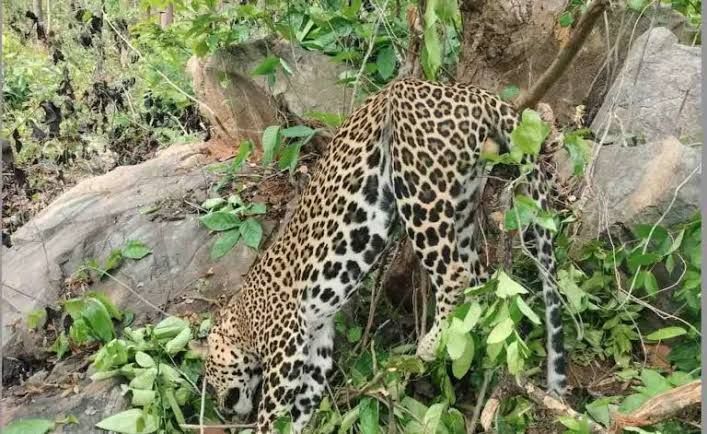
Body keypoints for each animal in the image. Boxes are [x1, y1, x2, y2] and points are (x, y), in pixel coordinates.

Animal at [196, 78, 567, 433]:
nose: (222, 409)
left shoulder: (286, 342)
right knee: (477, 278)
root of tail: (474, 93)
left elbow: (273, 410)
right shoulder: (316, 344)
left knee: (454, 274)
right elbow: (302, 405)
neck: (241, 320)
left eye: (211, 376)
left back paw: (430, 343)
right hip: (462, 202)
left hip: (418, 187)